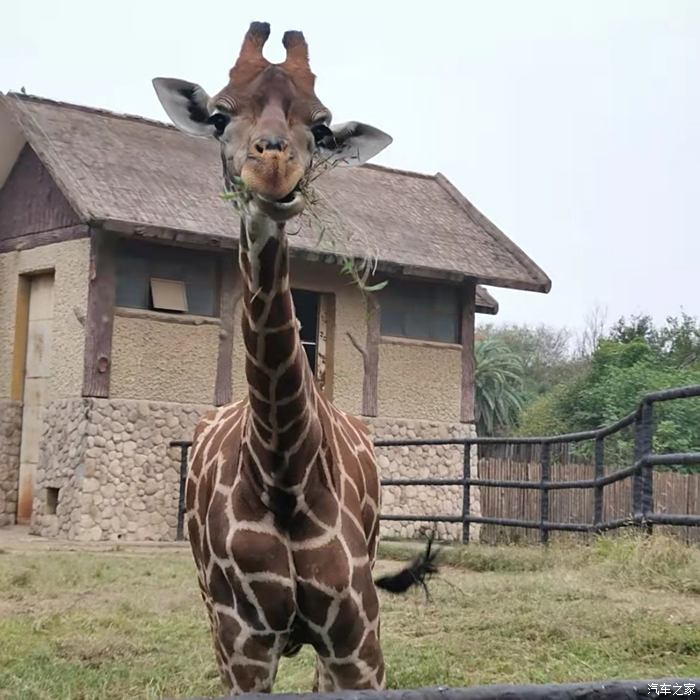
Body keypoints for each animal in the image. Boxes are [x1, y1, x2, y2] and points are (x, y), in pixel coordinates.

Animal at [154, 21, 438, 696]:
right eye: (220, 115)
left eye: (324, 125)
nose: (273, 167)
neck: (284, 470)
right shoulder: (243, 648)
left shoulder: (358, 645)